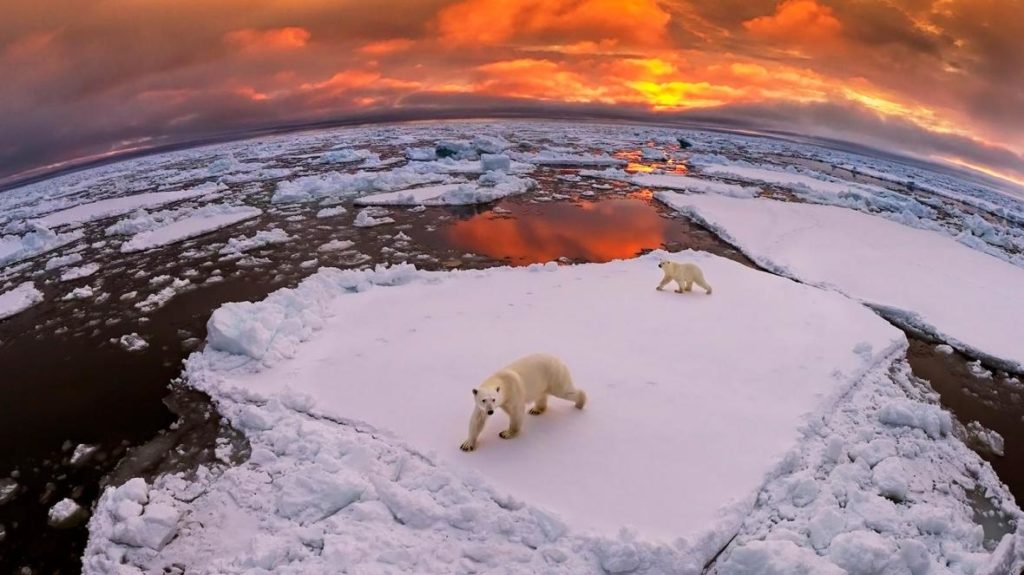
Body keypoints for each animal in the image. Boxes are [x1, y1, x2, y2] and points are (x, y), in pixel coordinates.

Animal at [460, 351, 589, 450]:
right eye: (483, 400)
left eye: (494, 399)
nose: (490, 411)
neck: (501, 380)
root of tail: (559, 360)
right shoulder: (481, 405)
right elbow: (478, 418)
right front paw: (467, 444)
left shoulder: (513, 392)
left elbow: (516, 412)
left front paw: (506, 433)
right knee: (542, 394)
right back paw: (536, 410)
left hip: (555, 376)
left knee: (564, 391)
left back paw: (580, 402)